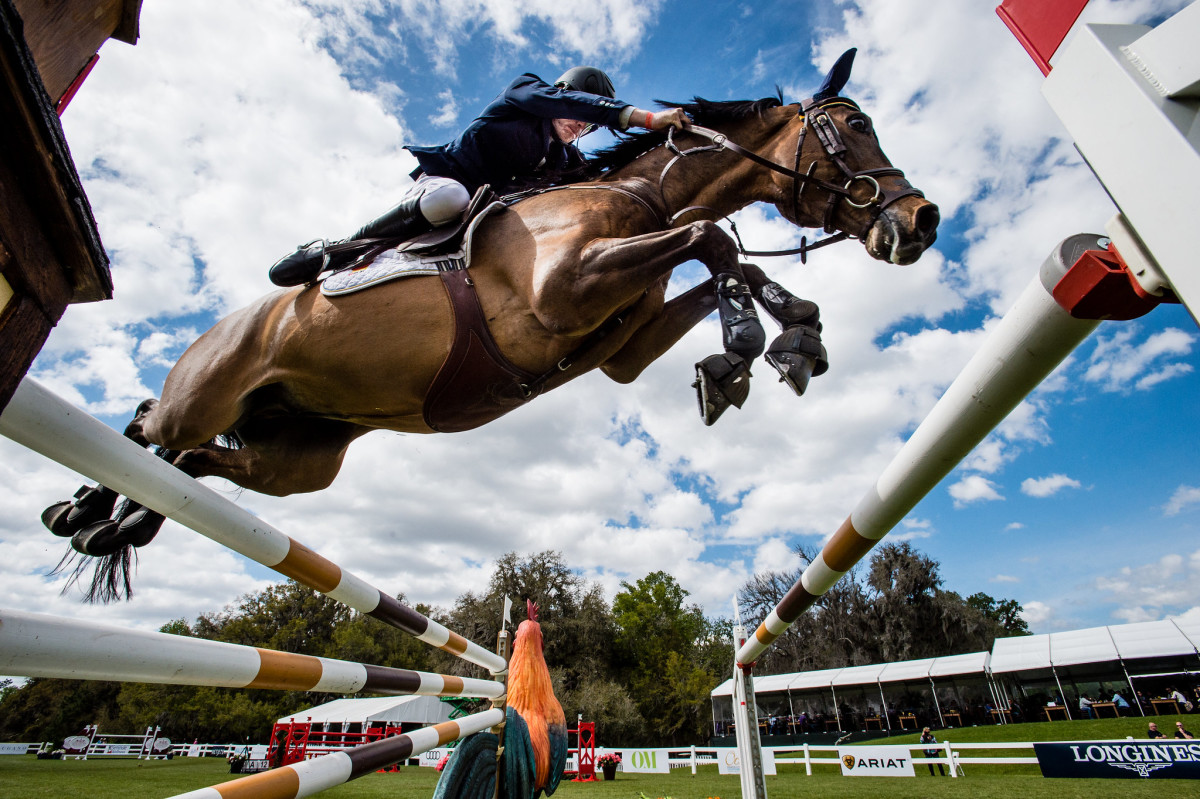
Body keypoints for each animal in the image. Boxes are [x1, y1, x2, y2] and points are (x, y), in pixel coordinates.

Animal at [42, 50, 939, 601]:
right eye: (853, 126)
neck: (638, 196)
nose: (922, 221)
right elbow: (713, 238)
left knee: (190, 458)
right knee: (150, 422)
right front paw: (749, 347)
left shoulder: (620, 346)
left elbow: (725, 256)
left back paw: (114, 517)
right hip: (210, 393)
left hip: (298, 458)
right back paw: (90, 508)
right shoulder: (561, 288)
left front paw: (791, 336)